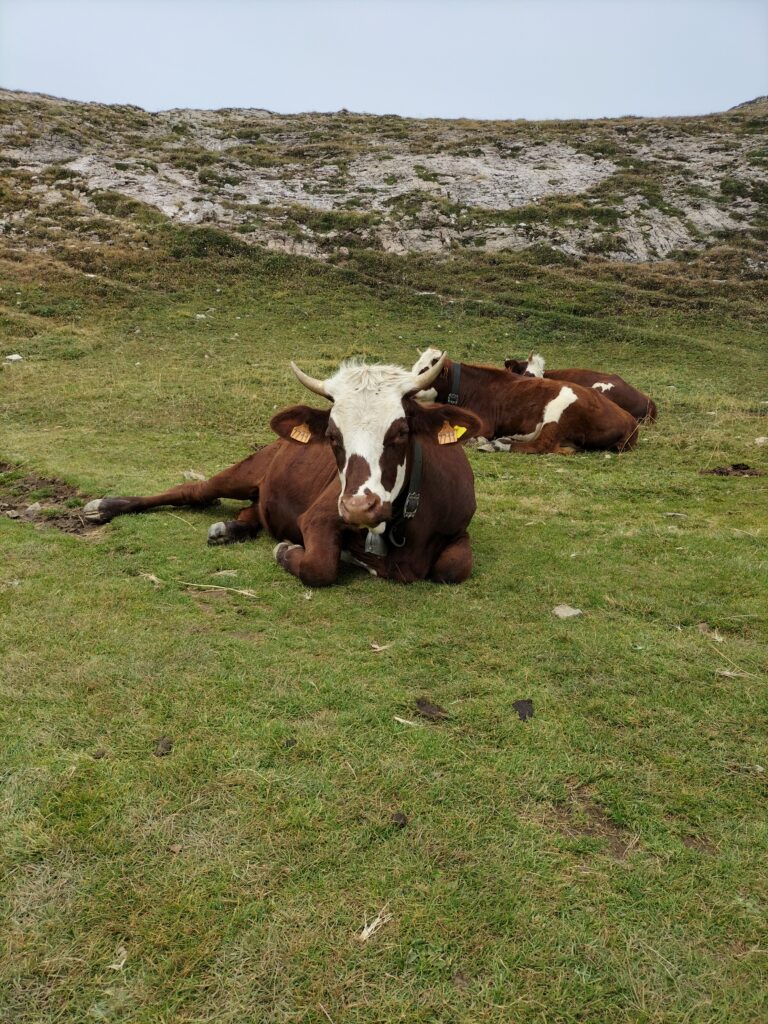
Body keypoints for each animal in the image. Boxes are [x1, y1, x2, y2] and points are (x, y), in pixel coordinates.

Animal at [82, 357, 483, 587]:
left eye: (400, 432)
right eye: (333, 436)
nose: (357, 507)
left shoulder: (459, 530)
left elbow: (454, 567)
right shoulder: (318, 516)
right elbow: (319, 566)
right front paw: (286, 551)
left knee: (254, 511)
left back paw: (229, 528)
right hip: (245, 471)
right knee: (194, 492)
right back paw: (105, 506)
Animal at [412, 348, 639, 454]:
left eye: (425, 370)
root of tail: (630, 421)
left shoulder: (485, 425)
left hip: (557, 415)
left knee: (541, 445)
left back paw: (498, 445)